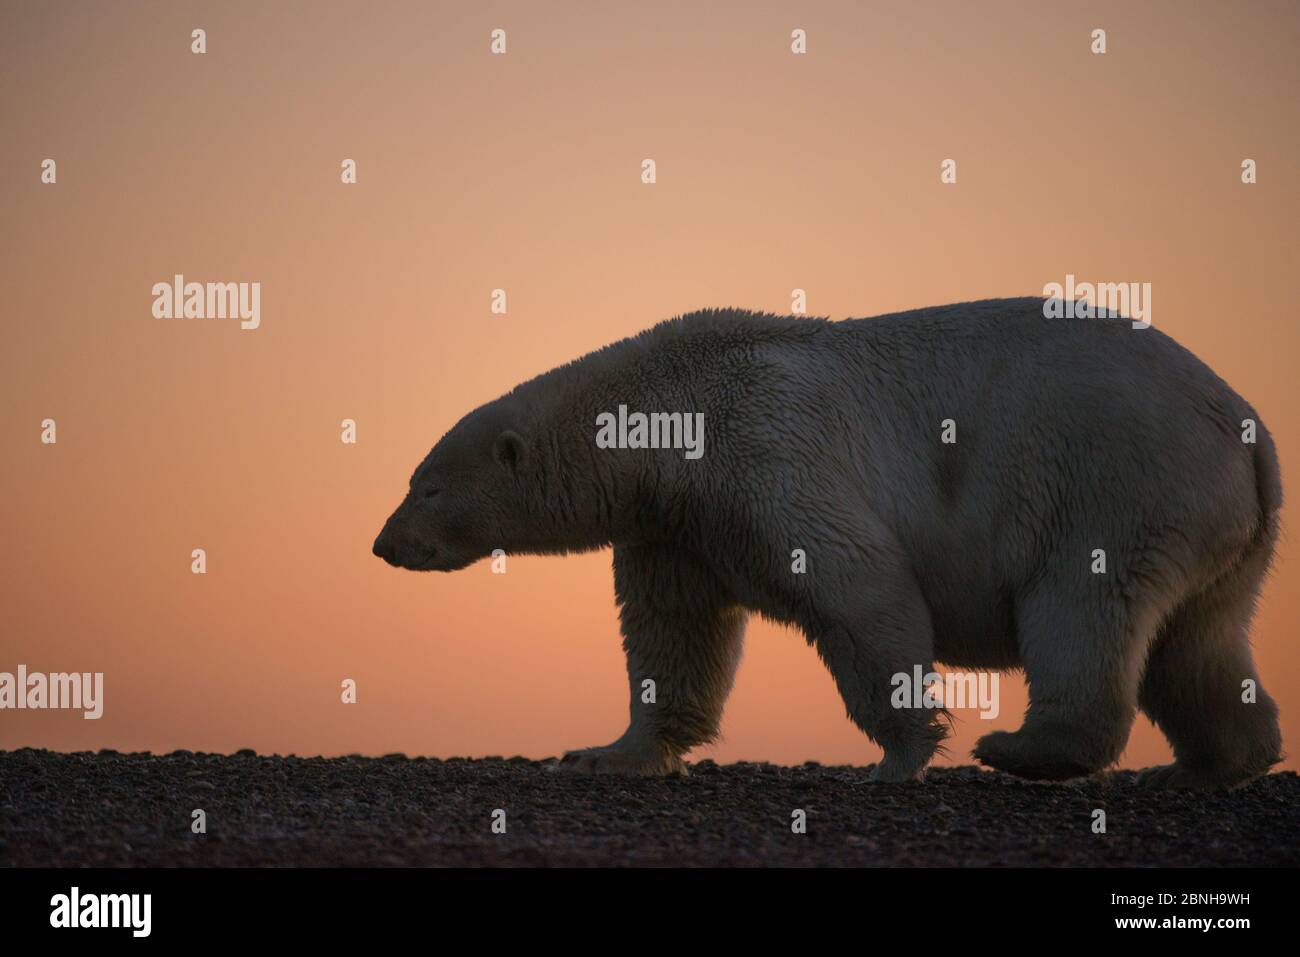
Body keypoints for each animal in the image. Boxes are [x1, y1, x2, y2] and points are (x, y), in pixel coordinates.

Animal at [371, 299, 1284, 785]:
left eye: (425, 486)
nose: (383, 543)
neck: (671, 415)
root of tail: (1245, 424)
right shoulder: (677, 523)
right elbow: (673, 631)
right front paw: (607, 751)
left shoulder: (765, 445)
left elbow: (858, 585)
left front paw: (901, 754)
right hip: (1216, 527)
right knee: (1198, 640)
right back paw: (1215, 760)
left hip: (1108, 478)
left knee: (1082, 609)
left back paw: (1023, 747)